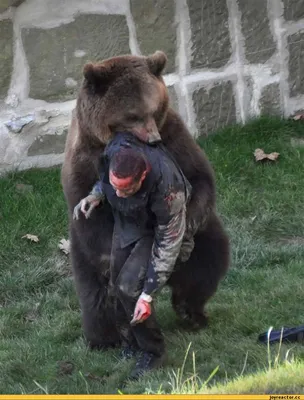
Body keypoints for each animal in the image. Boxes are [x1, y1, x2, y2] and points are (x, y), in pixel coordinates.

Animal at [61, 50, 230, 350]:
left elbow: (199, 177)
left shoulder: (173, 135)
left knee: (209, 260)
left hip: (205, 240)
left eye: (154, 109)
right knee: (96, 296)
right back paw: (106, 337)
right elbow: (93, 216)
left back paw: (190, 311)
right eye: (132, 115)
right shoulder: (84, 160)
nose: (152, 139)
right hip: (81, 255)